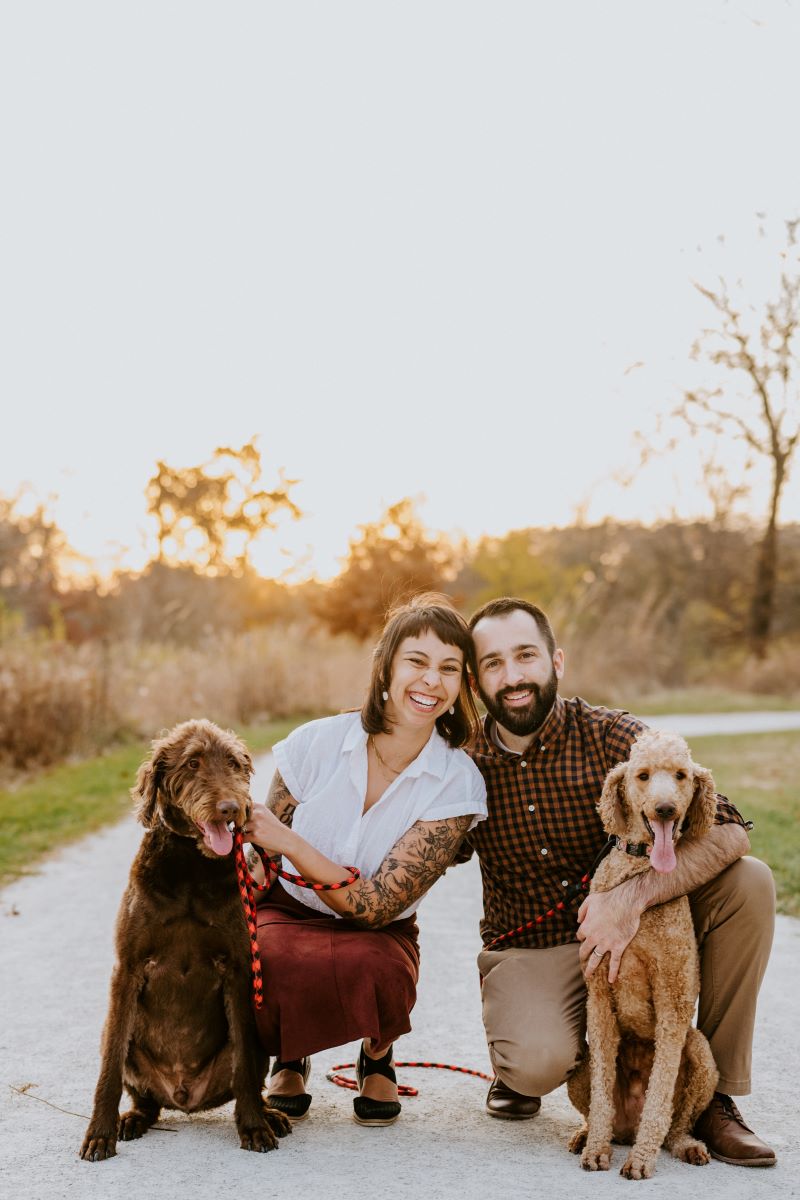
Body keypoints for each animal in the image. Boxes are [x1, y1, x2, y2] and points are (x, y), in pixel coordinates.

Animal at [77, 715, 289, 1156]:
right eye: (192, 764)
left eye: (234, 763)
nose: (231, 807)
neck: (192, 867)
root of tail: (183, 1095)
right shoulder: (127, 969)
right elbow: (108, 1069)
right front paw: (100, 1131)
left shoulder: (238, 970)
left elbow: (244, 1066)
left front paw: (253, 1126)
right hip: (128, 1047)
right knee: (143, 1096)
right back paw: (131, 1118)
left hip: (260, 1044)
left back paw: (269, 1115)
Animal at [568, 729, 719, 1180]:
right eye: (643, 775)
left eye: (681, 775)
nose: (665, 808)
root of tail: (627, 1128)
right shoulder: (599, 1000)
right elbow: (602, 1095)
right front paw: (596, 1151)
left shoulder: (673, 1003)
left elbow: (660, 1094)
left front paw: (640, 1162)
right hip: (579, 1066)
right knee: (596, 1108)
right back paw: (588, 1135)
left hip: (701, 1053)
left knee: (676, 1122)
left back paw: (684, 1145)